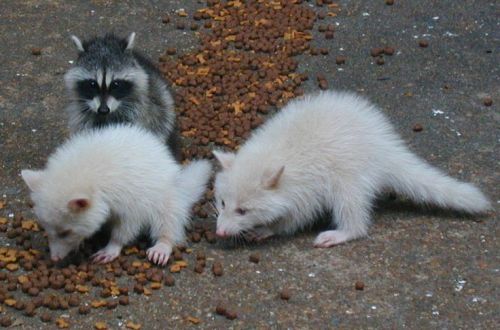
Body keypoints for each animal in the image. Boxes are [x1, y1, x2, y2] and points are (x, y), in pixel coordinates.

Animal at [21, 124, 209, 266]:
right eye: (47, 228)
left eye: (65, 232)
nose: (54, 258)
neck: (86, 175)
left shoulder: (131, 196)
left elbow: (128, 225)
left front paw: (113, 245)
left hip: (167, 194)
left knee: (167, 217)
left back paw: (163, 243)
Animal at [213, 90, 490, 248]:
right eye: (223, 203)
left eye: (243, 211)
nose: (220, 232)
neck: (274, 154)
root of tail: (386, 147)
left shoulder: (306, 187)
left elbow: (296, 216)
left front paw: (269, 228)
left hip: (351, 171)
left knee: (350, 202)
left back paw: (346, 232)